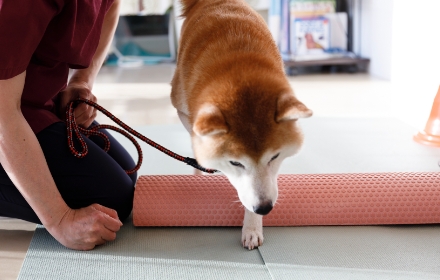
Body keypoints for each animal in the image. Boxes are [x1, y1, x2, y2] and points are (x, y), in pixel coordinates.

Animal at [170, 0, 312, 249]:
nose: (264, 208)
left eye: (275, 157)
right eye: (235, 162)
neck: (239, 65)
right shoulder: (182, 109)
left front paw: (252, 226)